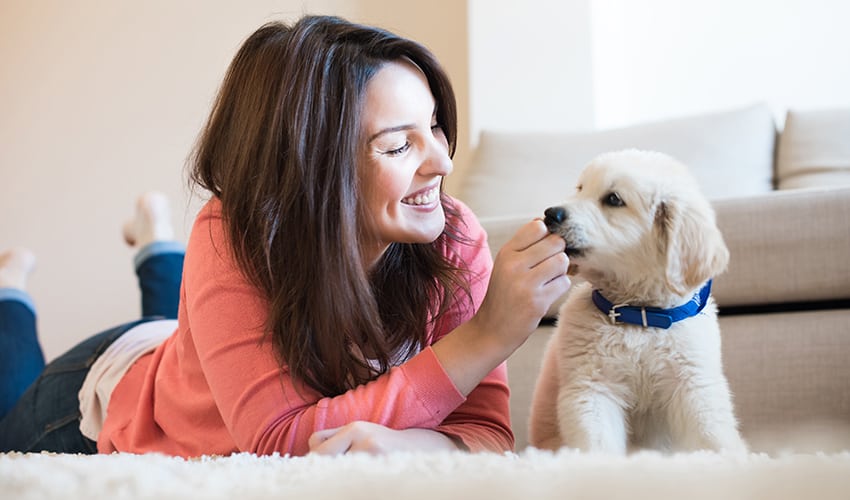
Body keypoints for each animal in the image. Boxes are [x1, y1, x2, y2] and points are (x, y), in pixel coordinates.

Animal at [528, 148, 744, 454]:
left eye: (613, 199)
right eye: (580, 188)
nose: (550, 213)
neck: (639, 313)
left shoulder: (693, 384)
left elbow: (712, 436)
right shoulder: (592, 387)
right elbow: (598, 444)